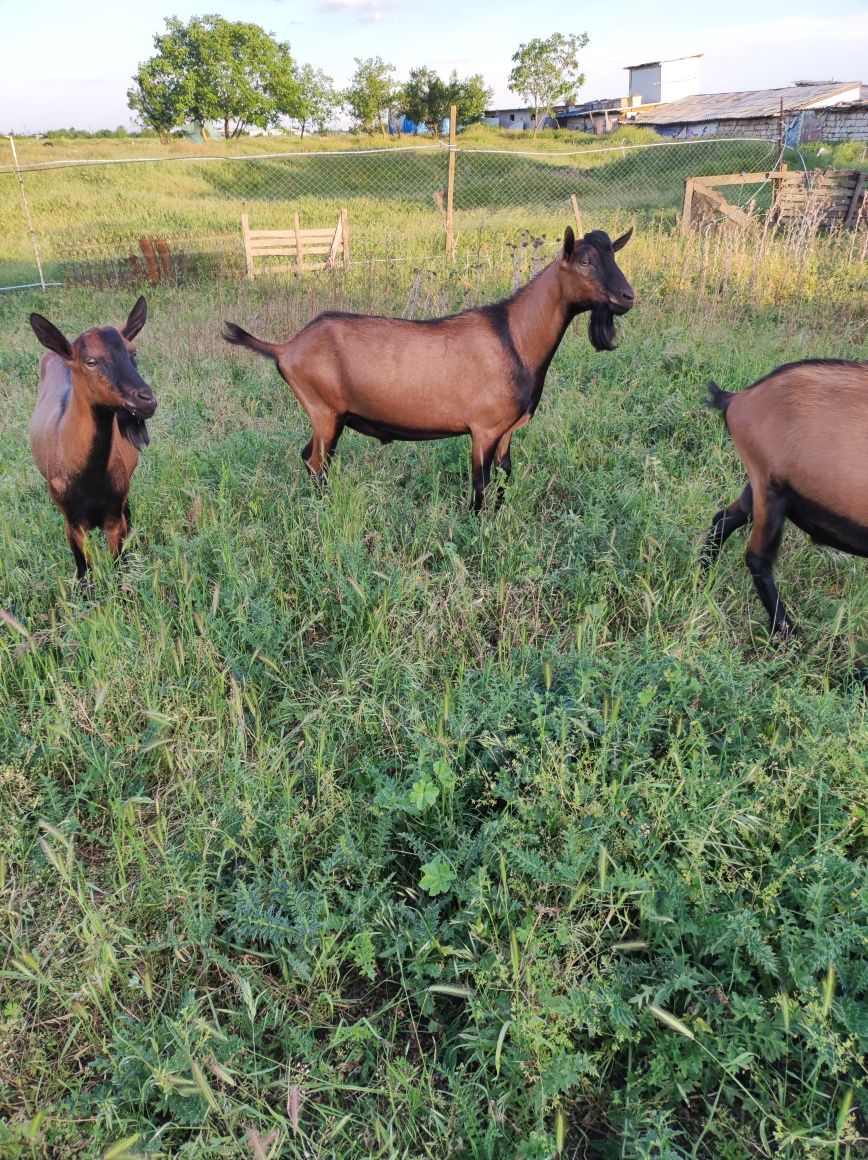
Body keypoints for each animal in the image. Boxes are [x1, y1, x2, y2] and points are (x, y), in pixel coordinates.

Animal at [28, 294, 156, 575]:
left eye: (133, 354)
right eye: (91, 361)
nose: (146, 400)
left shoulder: (114, 519)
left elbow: (119, 569)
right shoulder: (72, 524)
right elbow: (85, 575)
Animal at [221, 226, 631, 512]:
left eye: (614, 256)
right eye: (585, 262)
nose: (628, 297)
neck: (514, 337)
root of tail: (287, 347)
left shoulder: (507, 431)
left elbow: (504, 478)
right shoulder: (483, 429)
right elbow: (481, 487)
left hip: (325, 416)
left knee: (308, 458)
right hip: (325, 411)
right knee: (317, 462)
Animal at [700, 359, 868, 640]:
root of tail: (738, 399)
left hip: (759, 486)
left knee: (723, 519)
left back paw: (702, 576)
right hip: (770, 491)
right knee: (757, 558)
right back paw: (787, 634)